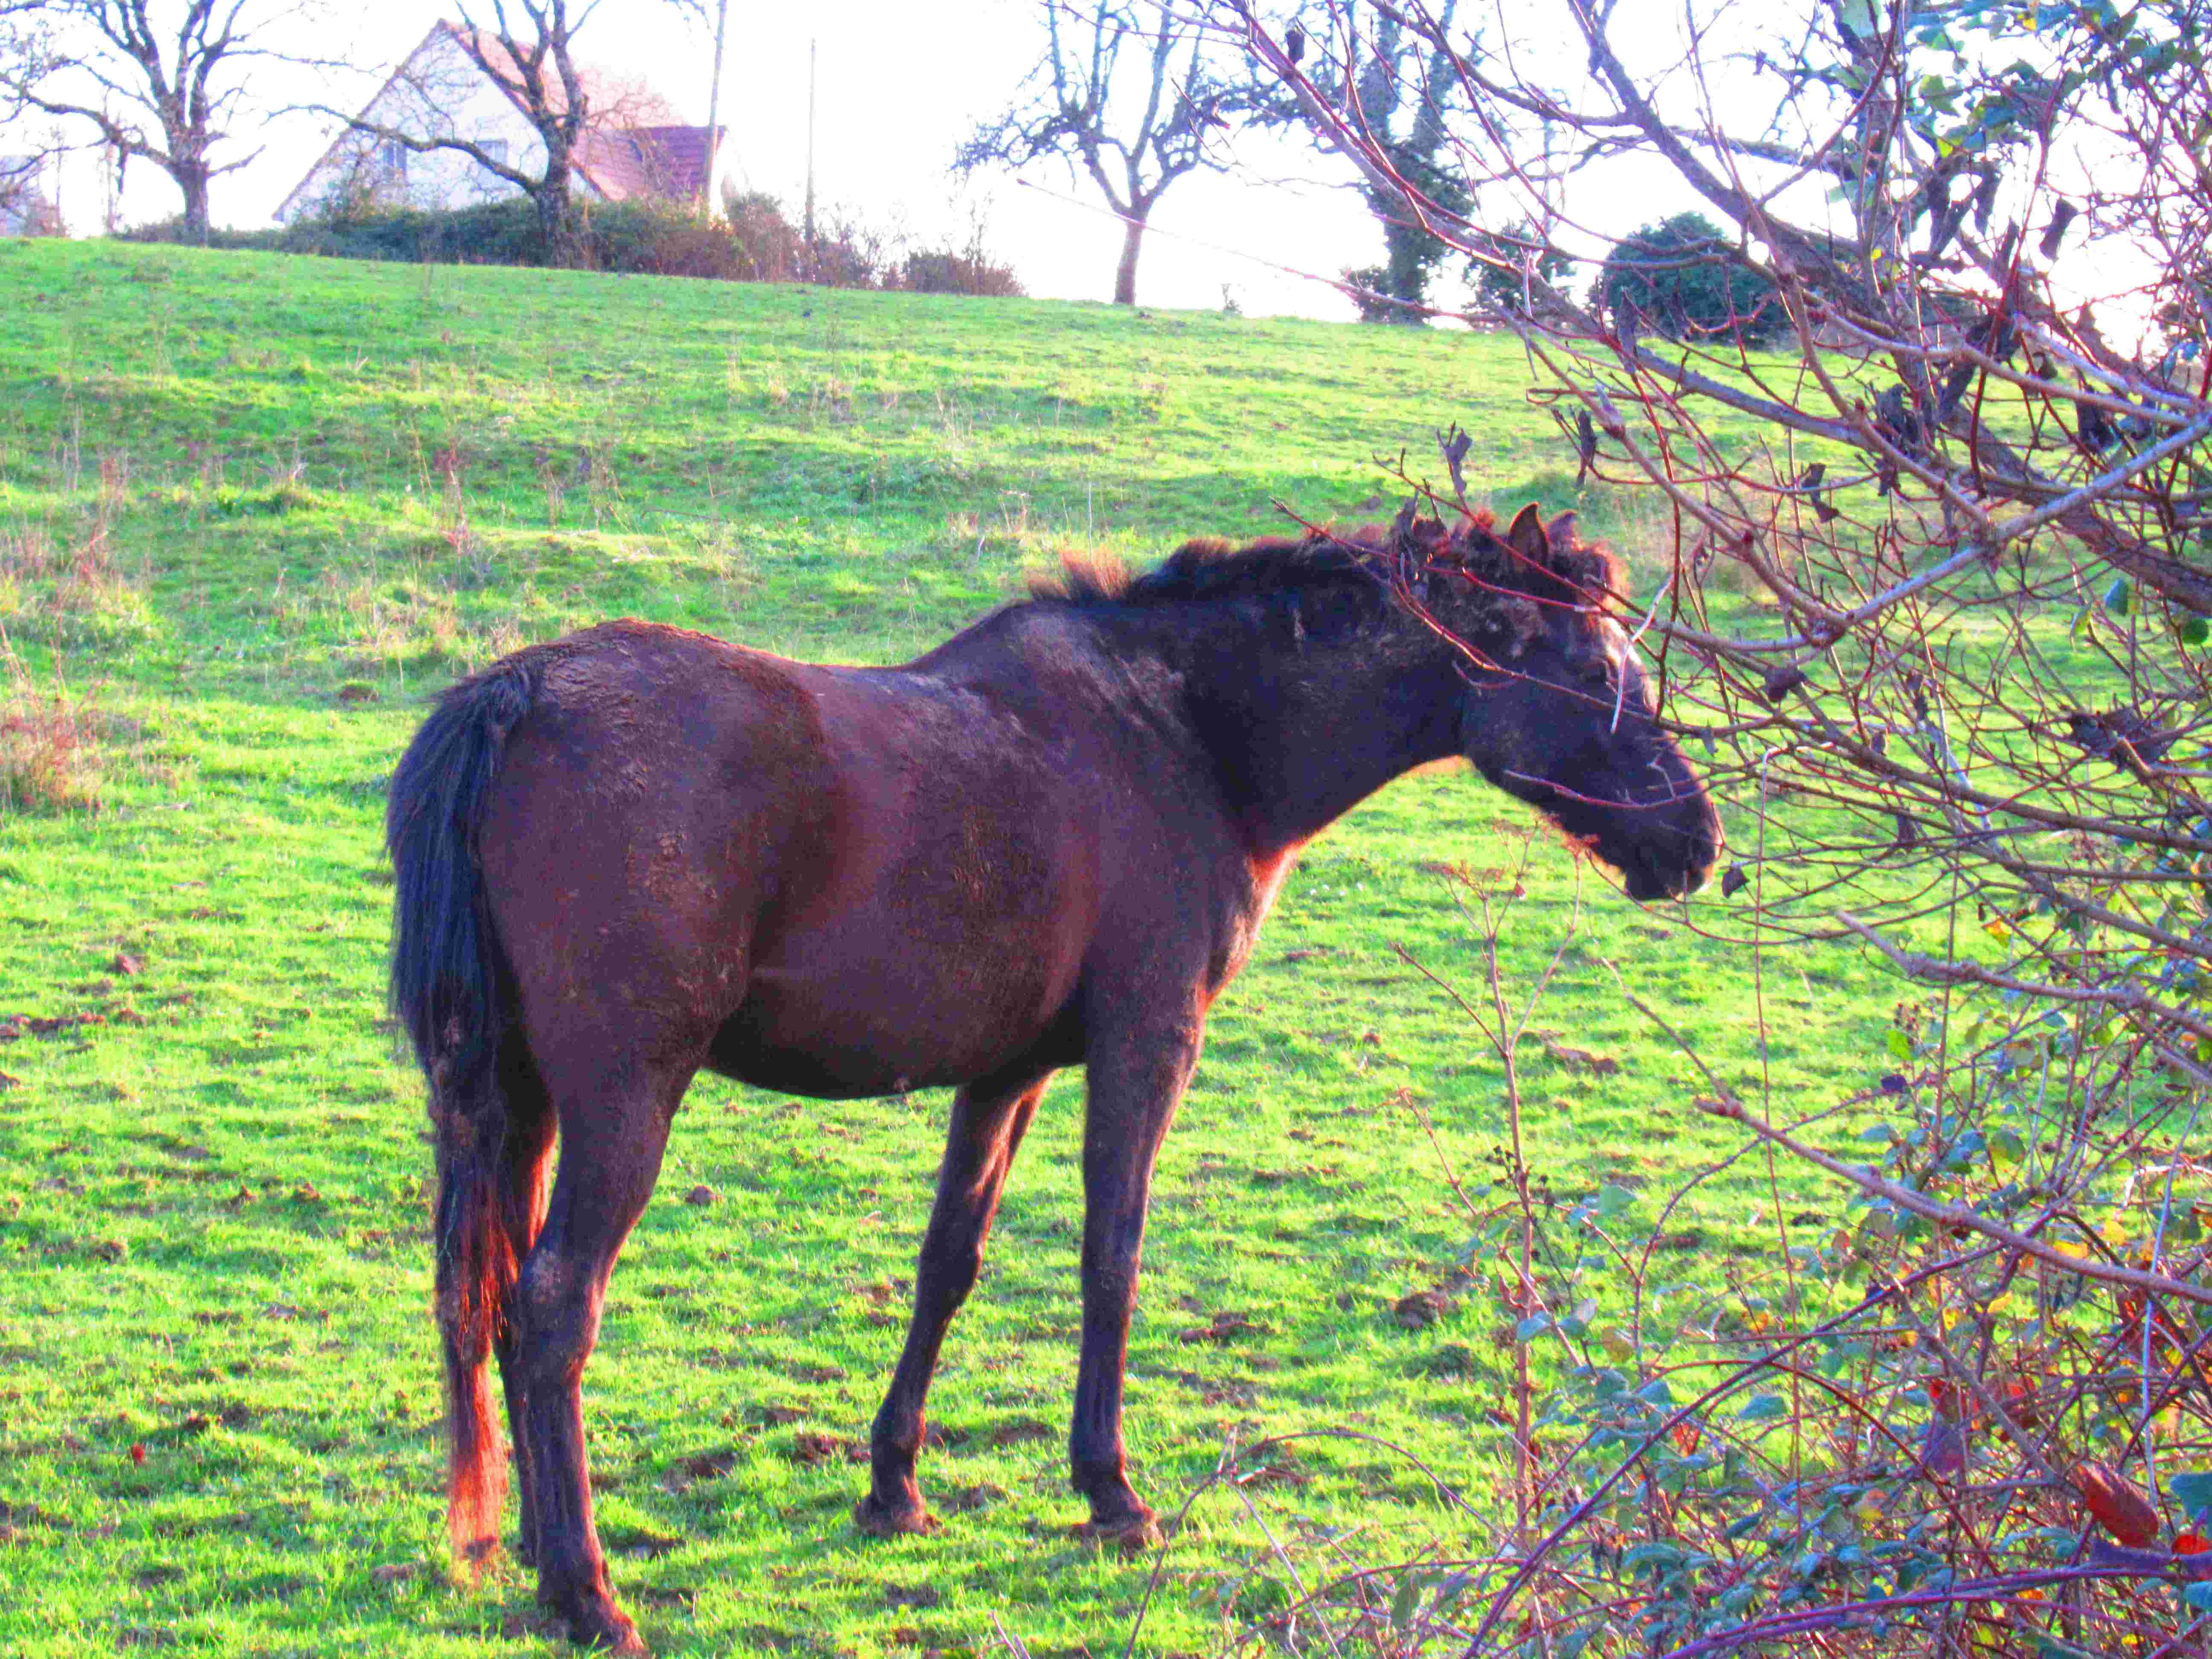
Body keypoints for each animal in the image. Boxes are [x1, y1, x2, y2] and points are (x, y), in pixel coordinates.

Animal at [389, 504, 1716, 1654]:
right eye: (1594, 674)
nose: (1699, 844)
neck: (1190, 738)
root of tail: (520, 691)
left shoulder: (1004, 1074)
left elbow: (948, 1265)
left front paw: (892, 1484)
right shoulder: (1146, 1046)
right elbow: (1110, 1259)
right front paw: (1111, 1491)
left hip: (518, 1103)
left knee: (493, 1296)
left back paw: (526, 1550)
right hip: (624, 1103)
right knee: (552, 1307)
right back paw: (585, 1591)